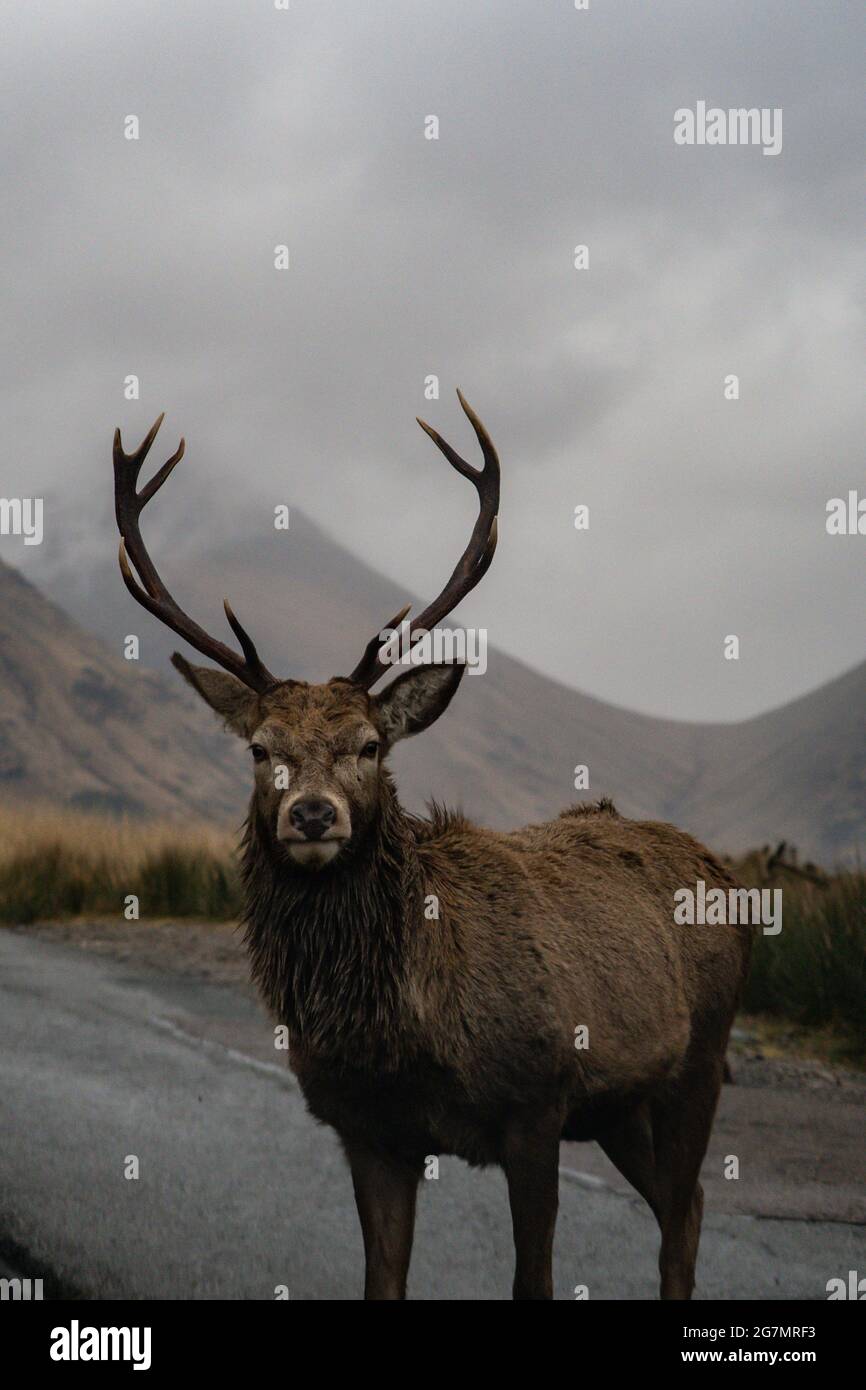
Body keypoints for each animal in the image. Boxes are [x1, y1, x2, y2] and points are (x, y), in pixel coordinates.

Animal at [112, 394, 753, 1300]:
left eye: (370, 744)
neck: (409, 1032)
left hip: (701, 1056)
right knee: (682, 1204)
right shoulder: (369, 1129)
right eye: (261, 749)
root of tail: (721, 870)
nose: (314, 815)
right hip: (620, 1106)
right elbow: (382, 1280)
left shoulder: (538, 1100)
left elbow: (534, 1280)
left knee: (684, 1208)